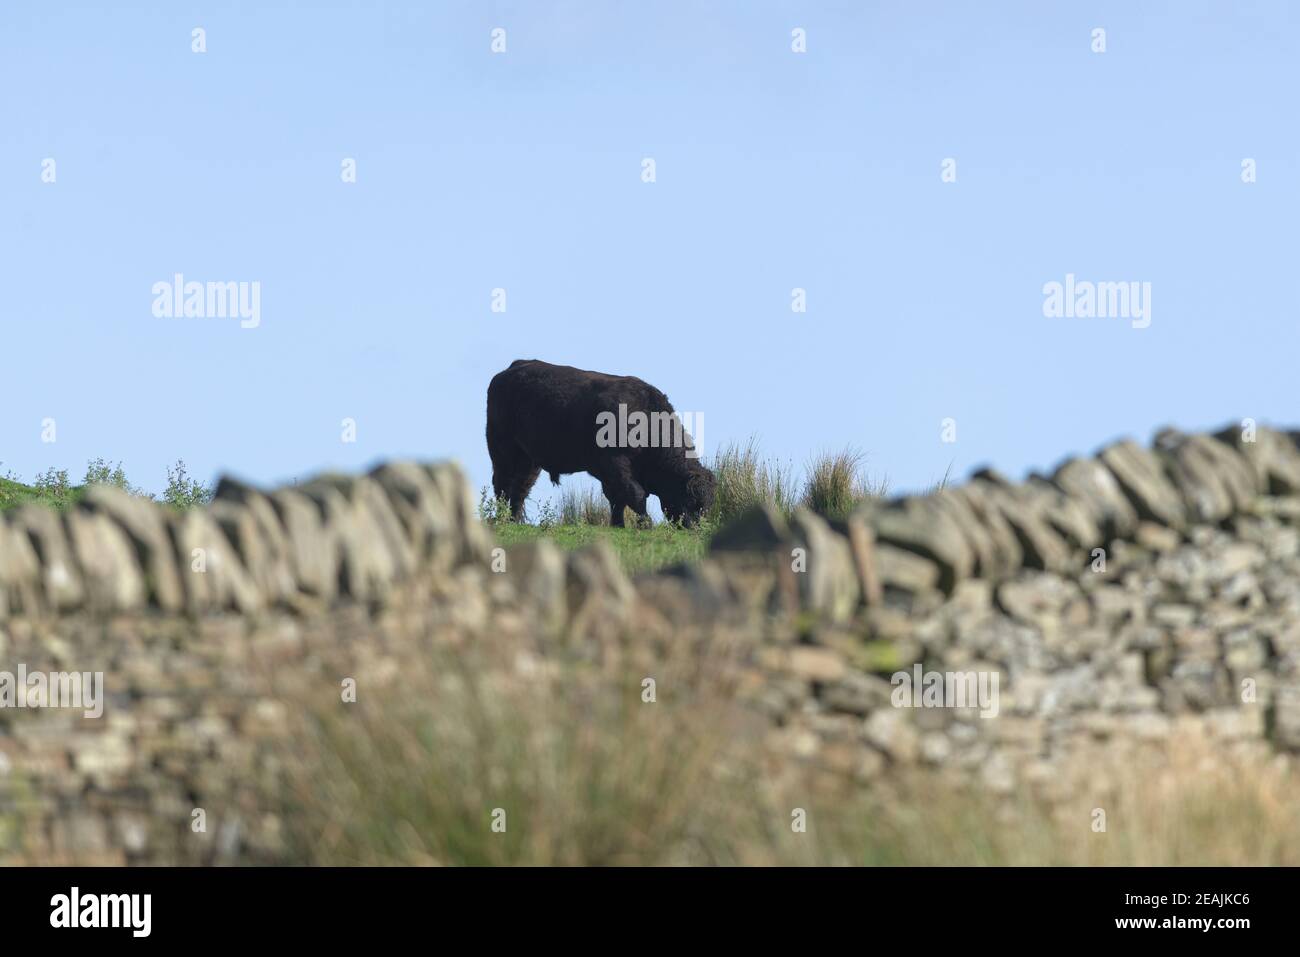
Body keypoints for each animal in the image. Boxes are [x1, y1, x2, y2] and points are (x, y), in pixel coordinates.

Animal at [486, 359, 715, 527]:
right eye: (692, 501)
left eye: (707, 505)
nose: (697, 528)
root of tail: (512, 368)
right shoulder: (614, 463)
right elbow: (634, 494)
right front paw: (645, 524)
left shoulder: (610, 472)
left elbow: (617, 498)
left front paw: (618, 524)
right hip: (502, 451)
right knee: (502, 485)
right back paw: (502, 519)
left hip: (529, 460)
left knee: (520, 489)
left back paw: (515, 520)